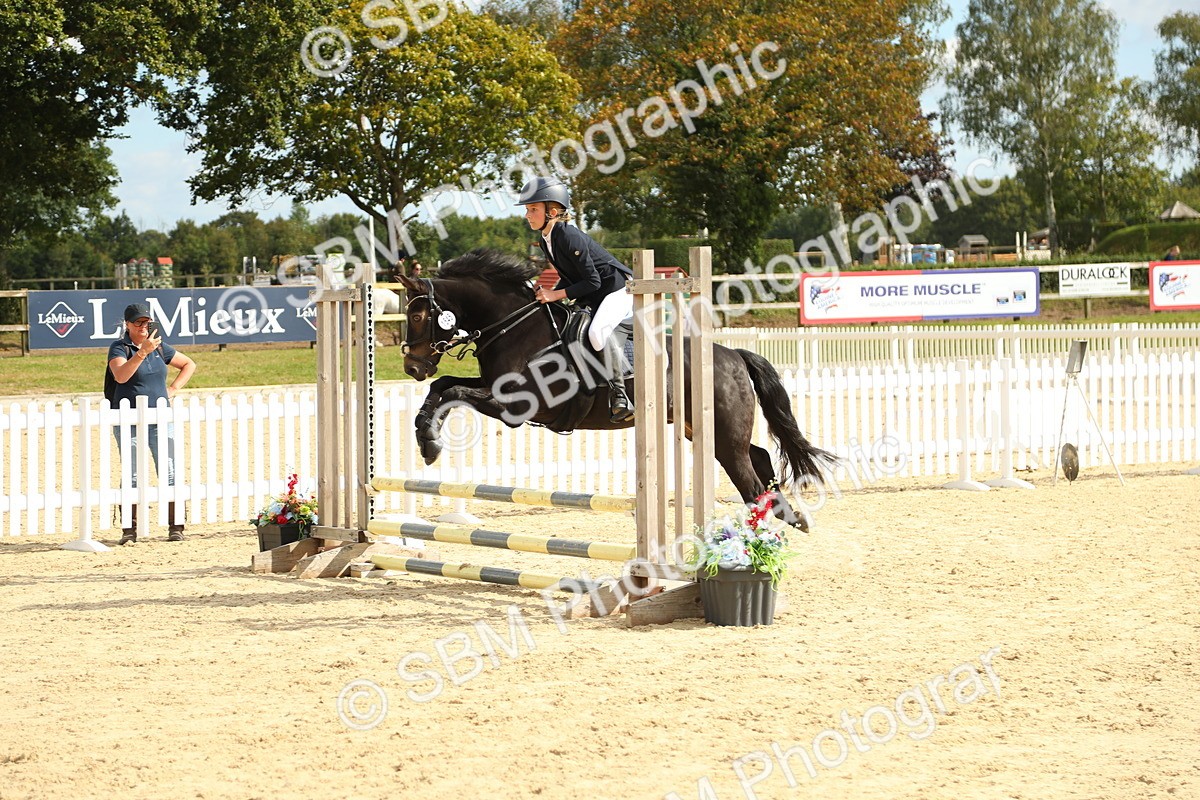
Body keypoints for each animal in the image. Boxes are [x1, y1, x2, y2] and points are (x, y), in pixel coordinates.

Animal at [396, 249, 835, 528]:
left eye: (417, 315)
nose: (412, 366)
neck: (513, 326)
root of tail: (733, 355)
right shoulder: (492, 389)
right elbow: (444, 387)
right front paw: (424, 435)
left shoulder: (516, 407)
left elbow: (455, 394)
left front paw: (430, 443)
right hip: (703, 430)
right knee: (759, 458)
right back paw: (793, 520)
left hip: (722, 434)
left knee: (751, 481)